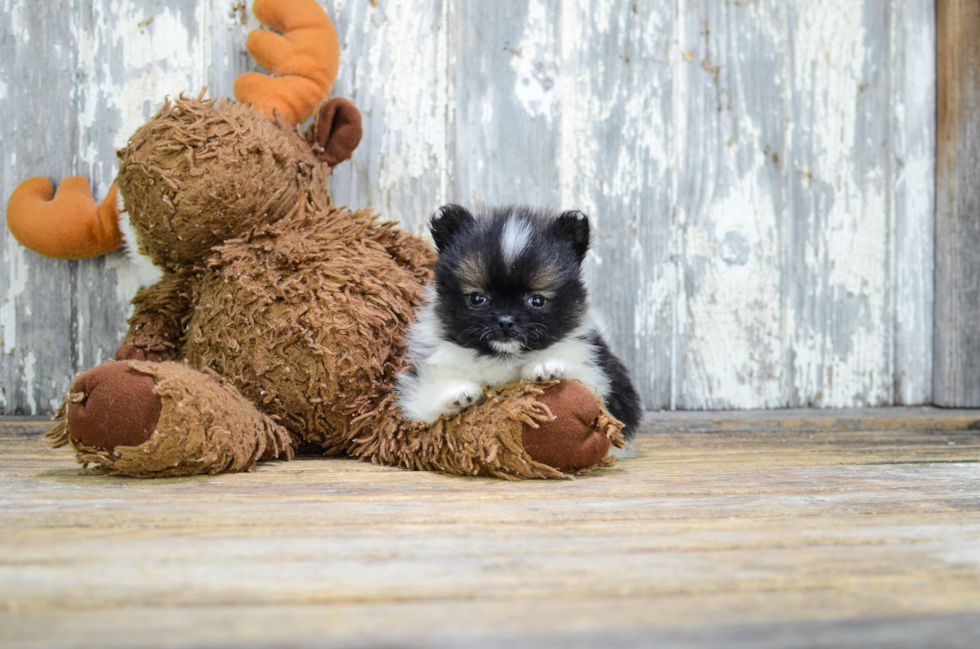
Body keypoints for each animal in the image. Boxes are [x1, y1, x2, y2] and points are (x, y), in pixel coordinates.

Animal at [398, 205, 644, 438]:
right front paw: (457, 393)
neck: (504, 357)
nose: (506, 321)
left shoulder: (597, 370)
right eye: (477, 298)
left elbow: (585, 381)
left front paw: (546, 367)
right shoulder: (419, 389)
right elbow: (425, 405)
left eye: (537, 300)